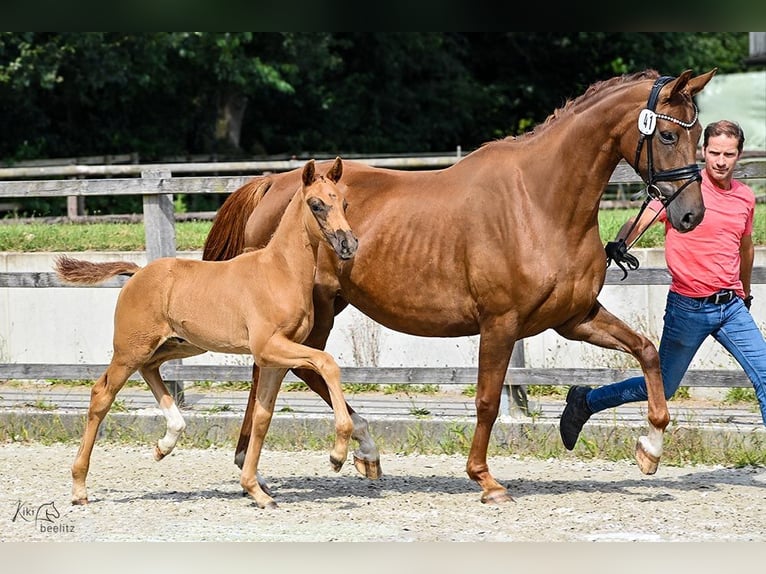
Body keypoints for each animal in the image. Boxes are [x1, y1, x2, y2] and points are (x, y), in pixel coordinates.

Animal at [55, 156, 358, 508]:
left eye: (345, 202)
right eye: (316, 204)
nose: (348, 244)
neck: (280, 272)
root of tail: (138, 272)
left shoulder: (273, 360)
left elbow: (262, 417)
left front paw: (256, 490)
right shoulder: (268, 347)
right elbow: (327, 363)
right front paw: (337, 455)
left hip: (181, 344)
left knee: (151, 369)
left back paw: (165, 443)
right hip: (131, 349)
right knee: (102, 394)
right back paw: (79, 487)